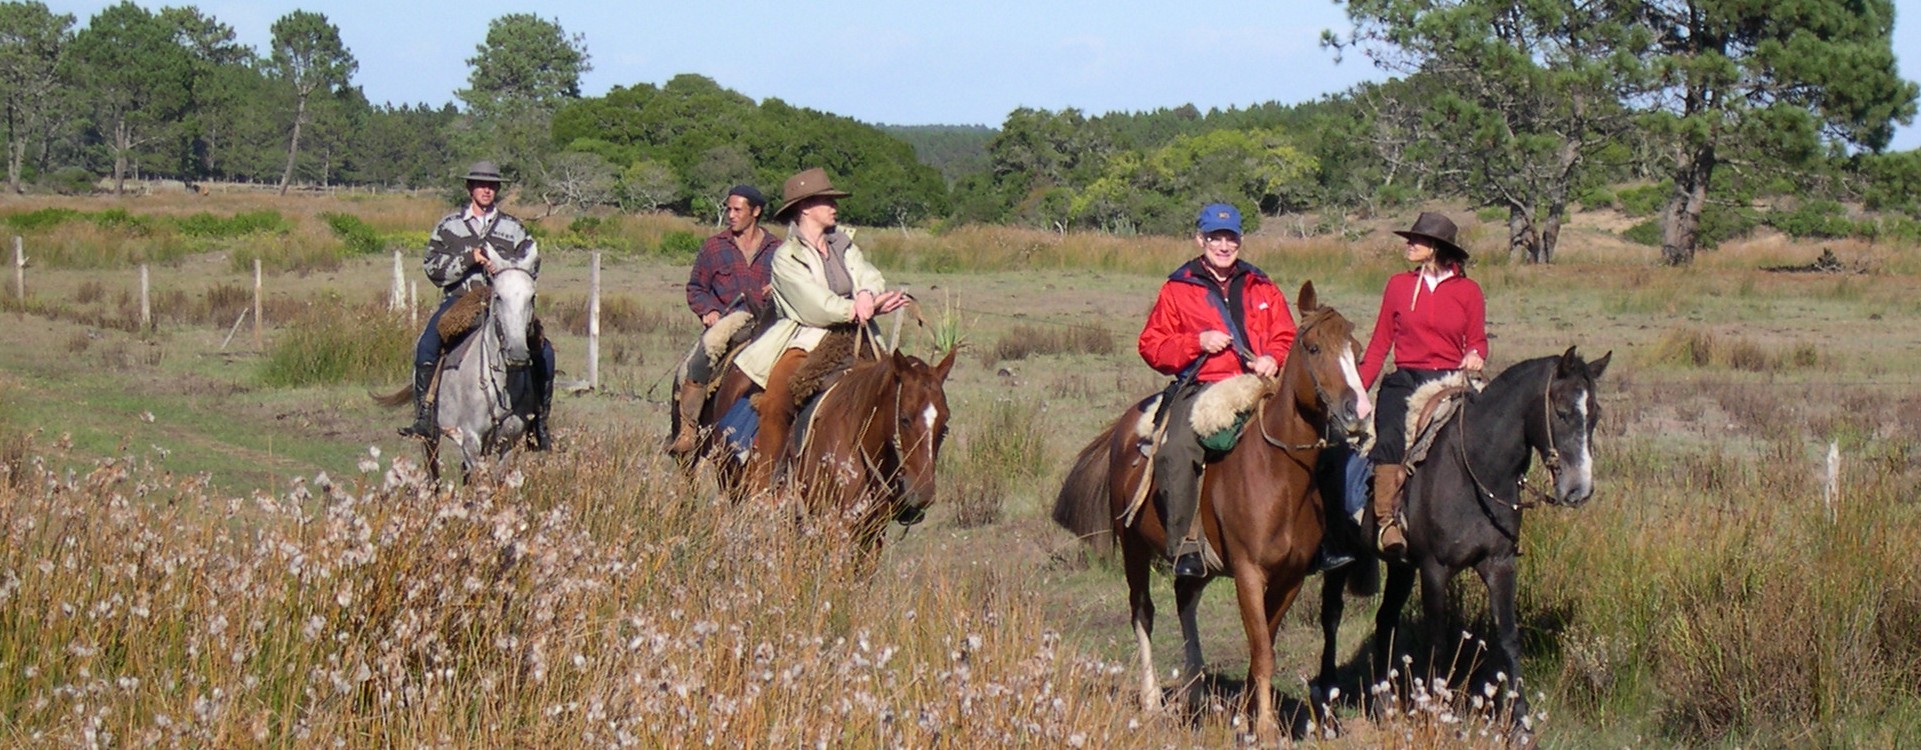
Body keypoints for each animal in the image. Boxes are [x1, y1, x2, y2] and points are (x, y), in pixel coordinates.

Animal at [1045, 282, 1375, 742]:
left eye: (1357, 351)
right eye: (1313, 347)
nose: (1358, 412)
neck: (1277, 473)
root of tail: (1125, 426)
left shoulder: (1290, 577)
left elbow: (1263, 648)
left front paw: (1252, 718)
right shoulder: (1249, 573)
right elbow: (1262, 650)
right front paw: (1265, 729)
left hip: (1197, 561)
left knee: (1185, 598)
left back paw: (1196, 692)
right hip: (1133, 547)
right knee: (1143, 612)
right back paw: (1153, 702)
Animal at [1321, 348, 1605, 730]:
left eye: (1595, 414)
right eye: (1561, 411)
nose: (1579, 489)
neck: (1479, 470)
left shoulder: (1499, 565)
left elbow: (1508, 638)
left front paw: (1521, 723)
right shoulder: (1435, 569)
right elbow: (1439, 641)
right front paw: (1436, 712)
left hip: (1400, 567)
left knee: (1385, 620)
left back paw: (1384, 704)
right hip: (1340, 558)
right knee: (1332, 617)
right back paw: (1326, 699)